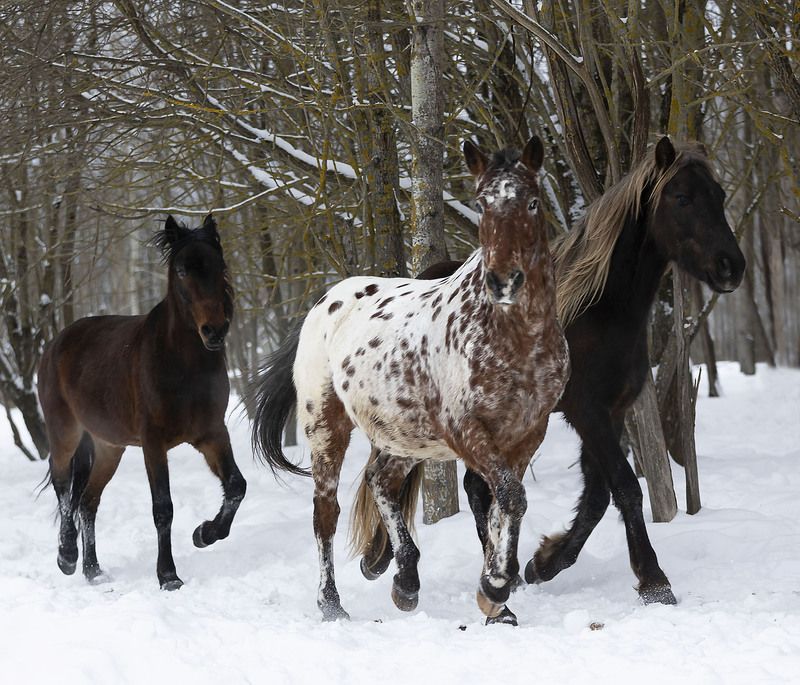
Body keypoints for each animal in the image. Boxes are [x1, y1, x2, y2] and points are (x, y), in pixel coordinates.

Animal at [37, 214, 246, 590]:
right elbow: (163, 508)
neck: (183, 364)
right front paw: (168, 576)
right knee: (62, 489)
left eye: (219, 267)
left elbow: (236, 486)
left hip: (109, 447)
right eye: (182, 270)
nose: (215, 331)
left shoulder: (211, 434)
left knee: (87, 503)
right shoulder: (153, 443)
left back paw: (93, 570)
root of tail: (57, 343)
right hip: (65, 434)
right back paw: (67, 557)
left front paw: (204, 533)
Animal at [252, 136, 570, 622]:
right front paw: (495, 587)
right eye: (481, 202)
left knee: (381, 481)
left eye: (532, 202)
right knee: (325, 513)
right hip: (326, 427)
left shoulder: (527, 433)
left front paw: (497, 599)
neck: (517, 340)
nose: (503, 280)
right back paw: (332, 603)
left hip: (406, 434)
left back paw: (405, 579)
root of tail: (326, 301)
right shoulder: (466, 430)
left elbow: (504, 505)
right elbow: (509, 498)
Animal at [357, 136, 746, 612]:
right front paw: (654, 580)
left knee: (475, 487)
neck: (600, 312)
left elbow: (598, 496)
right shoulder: (587, 412)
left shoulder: (611, 413)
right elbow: (626, 488)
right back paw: (397, 565)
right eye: (682, 198)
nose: (731, 266)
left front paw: (543, 563)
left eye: (720, 196)